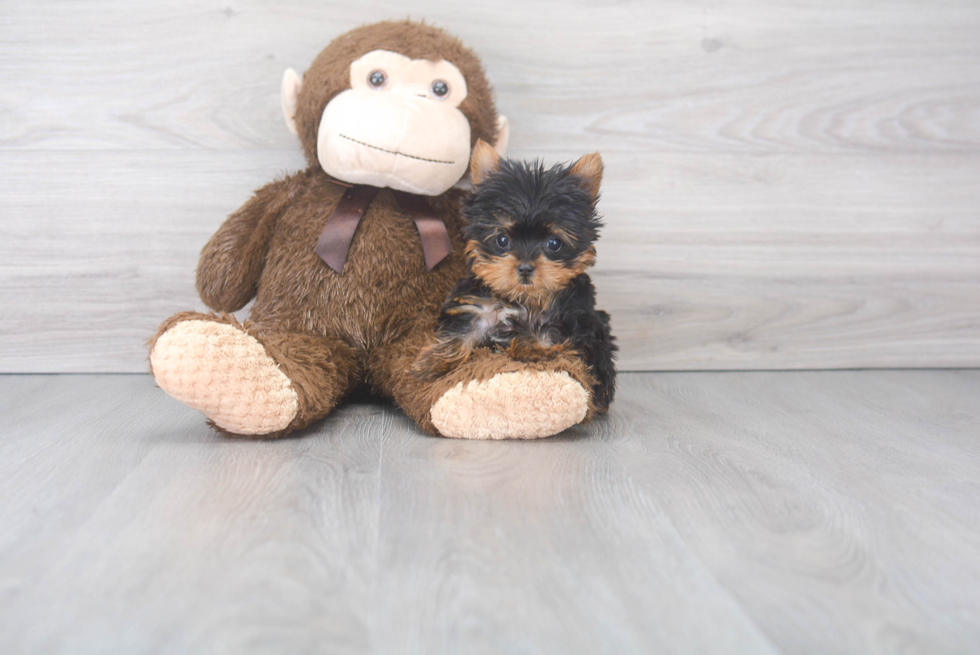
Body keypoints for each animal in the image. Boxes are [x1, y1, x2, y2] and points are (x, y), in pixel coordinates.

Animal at [412, 142, 612, 412]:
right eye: (502, 239)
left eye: (554, 243)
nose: (525, 267)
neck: (524, 299)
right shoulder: (480, 307)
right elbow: (463, 331)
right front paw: (431, 362)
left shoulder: (574, 321)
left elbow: (546, 335)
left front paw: (527, 345)